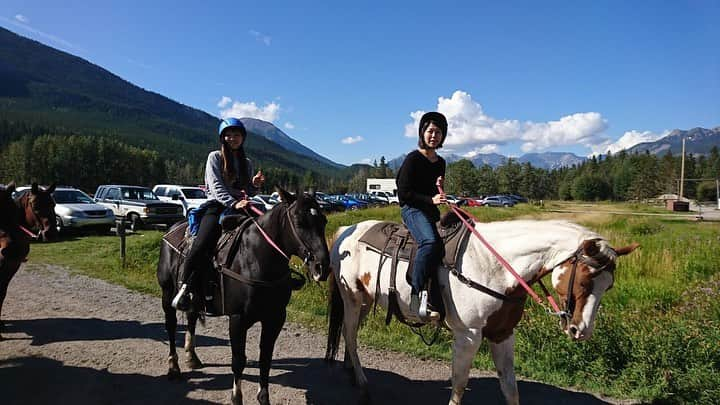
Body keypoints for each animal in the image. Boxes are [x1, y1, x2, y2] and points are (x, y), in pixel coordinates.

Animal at [324, 218, 636, 404]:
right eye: (584, 280)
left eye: (609, 286)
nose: (581, 330)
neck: (494, 265)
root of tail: (346, 231)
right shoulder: (468, 336)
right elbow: (459, 384)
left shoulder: (503, 334)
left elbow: (510, 388)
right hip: (352, 299)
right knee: (350, 335)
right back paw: (362, 383)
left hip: (365, 301)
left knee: (349, 335)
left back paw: (352, 372)